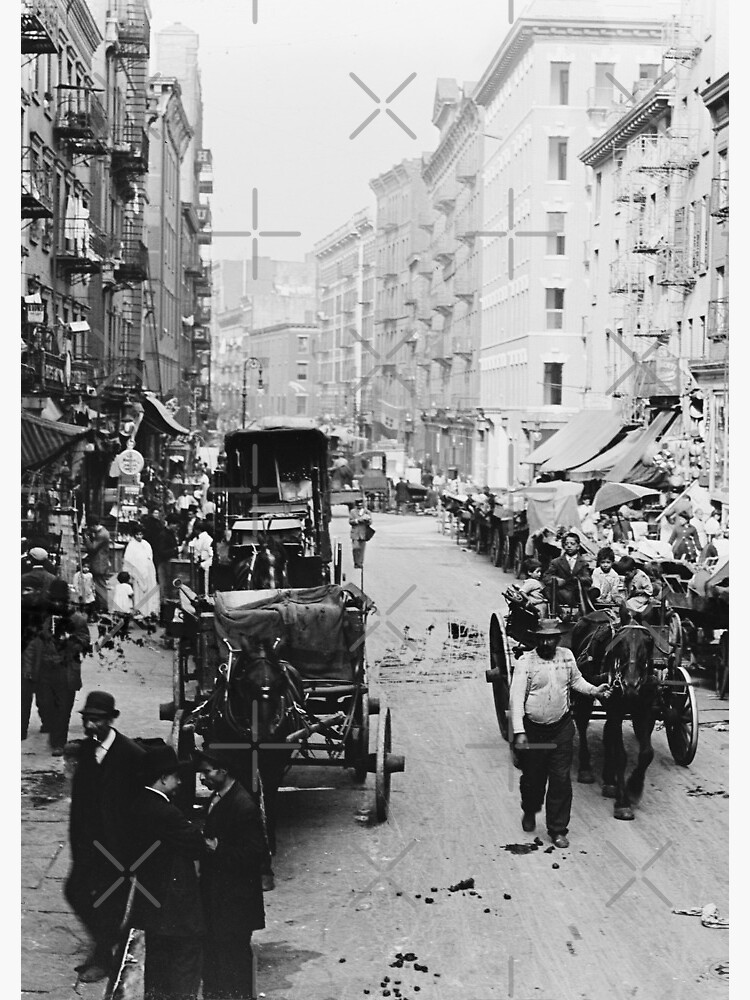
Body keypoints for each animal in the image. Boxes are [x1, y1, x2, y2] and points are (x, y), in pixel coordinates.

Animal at [572, 624, 660, 820]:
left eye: (648, 642)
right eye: (619, 644)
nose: (630, 685)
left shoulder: (644, 710)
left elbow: (647, 753)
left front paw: (634, 787)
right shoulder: (615, 710)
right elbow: (621, 755)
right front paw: (623, 803)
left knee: (608, 734)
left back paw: (609, 780)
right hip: (583, 693)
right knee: (582, 723)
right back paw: (585, 769)